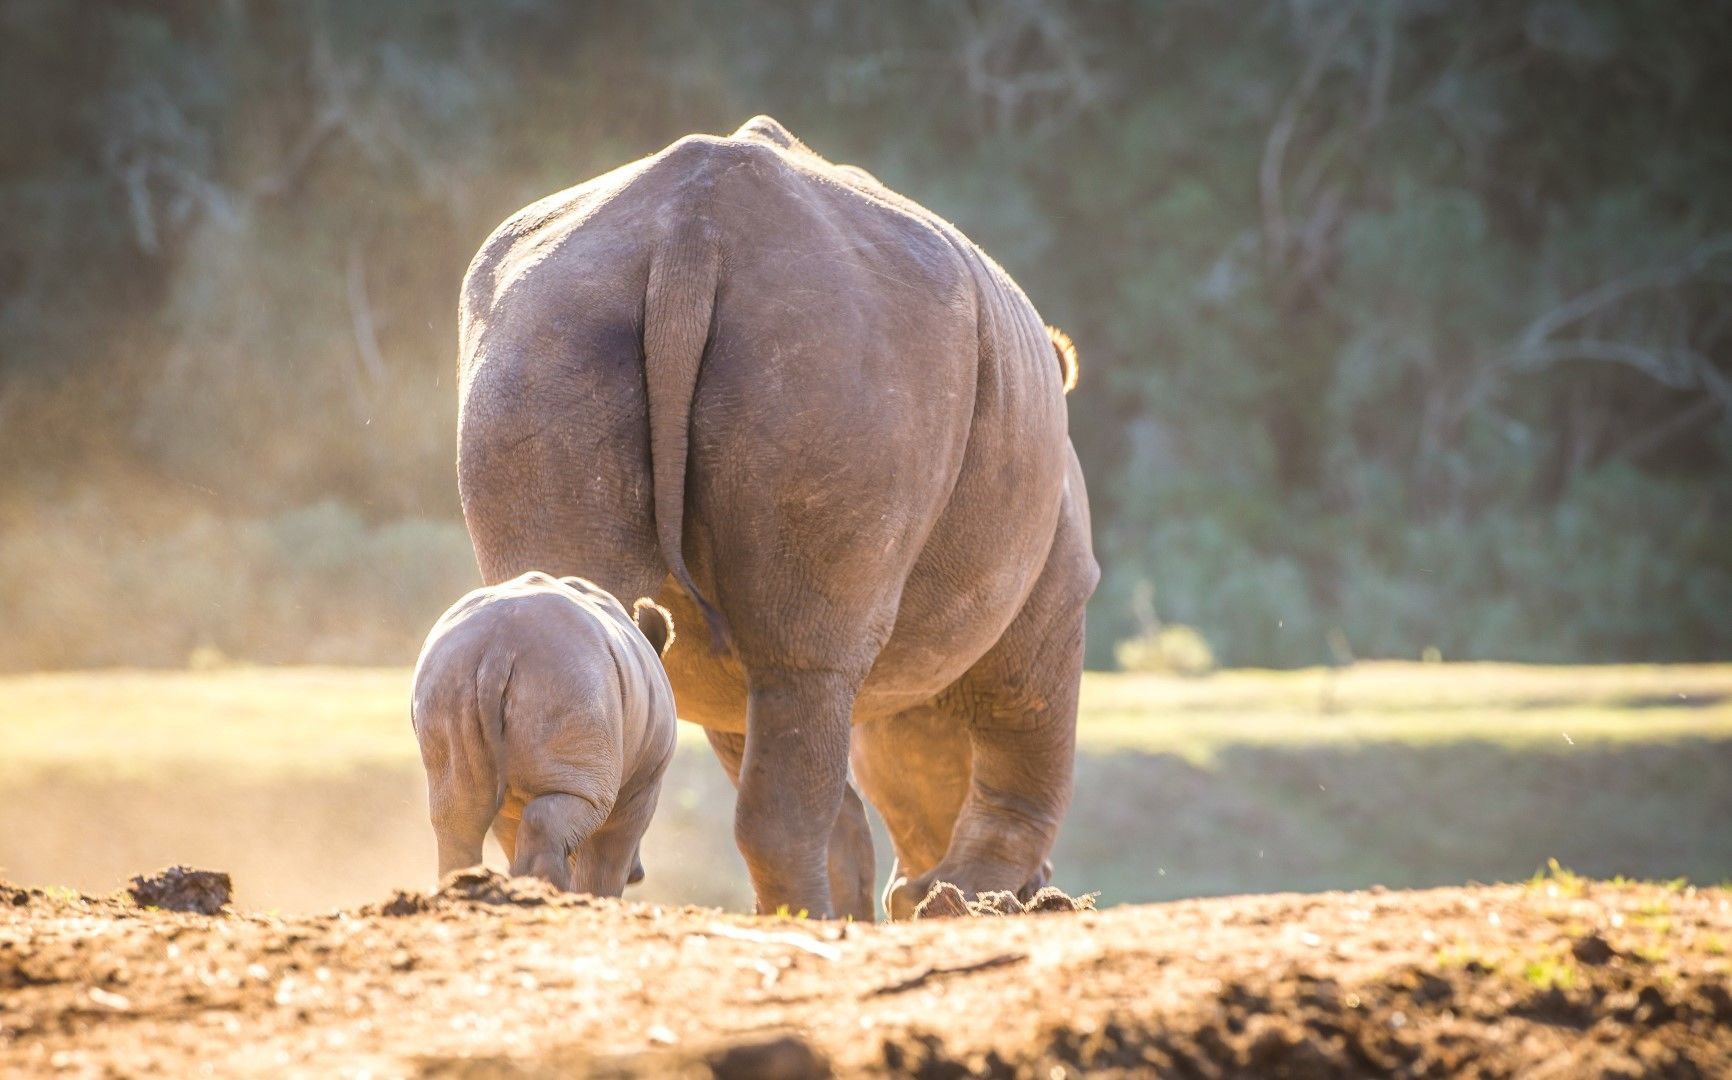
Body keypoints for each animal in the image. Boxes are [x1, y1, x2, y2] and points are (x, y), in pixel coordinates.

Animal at [456, 116, 1097, 919]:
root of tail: (691, 235)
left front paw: (921, 902)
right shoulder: (1059, 582)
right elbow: (1026, 737)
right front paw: (973, 900)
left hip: (551, 324)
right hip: (848, 345)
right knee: (809, 665)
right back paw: (831, 917)